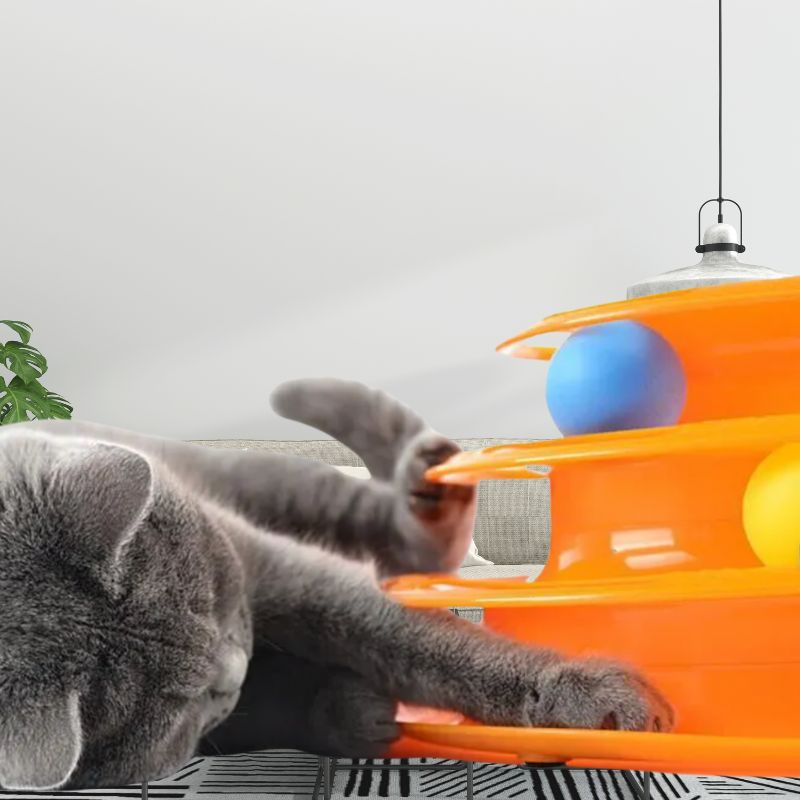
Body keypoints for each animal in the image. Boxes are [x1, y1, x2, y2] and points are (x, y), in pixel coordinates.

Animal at [0, 378, 672, 792]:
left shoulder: (285, 574)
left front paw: (583, 698)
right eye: (173, 699)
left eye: (211, 592)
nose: (235, 662)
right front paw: (351, 712)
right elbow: (263, 715)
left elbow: (418, 641)